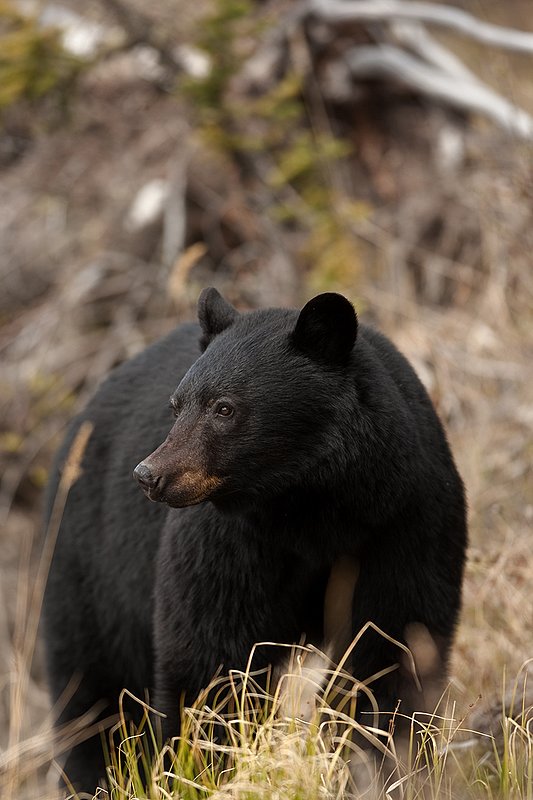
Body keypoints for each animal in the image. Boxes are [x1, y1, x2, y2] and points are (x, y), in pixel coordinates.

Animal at [42, 288, 467, 795]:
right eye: (176, 405)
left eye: (224, 407)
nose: (149, 475)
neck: (312, 507)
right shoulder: (230, 543)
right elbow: (211, 656)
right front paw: (206, 770)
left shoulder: (405, 523)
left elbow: (392, 648)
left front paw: (375, 767)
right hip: (89, 566)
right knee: (93, 694)